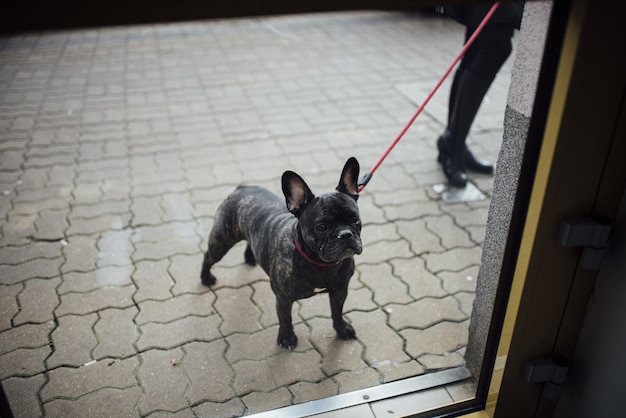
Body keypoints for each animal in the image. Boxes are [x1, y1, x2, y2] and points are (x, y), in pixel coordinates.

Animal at [200, 158, 360, 348]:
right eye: (322, 227)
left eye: (355, 219)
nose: (346, 234)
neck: (319, 263)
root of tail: (242, 188)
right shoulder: (283, 298)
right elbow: (285, 318)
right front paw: (287, 337)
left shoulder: (339, 290)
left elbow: (337, 311)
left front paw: (341, 329)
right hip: (222, 240)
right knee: (208, 257)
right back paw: (206, 278)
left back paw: (250, 257)